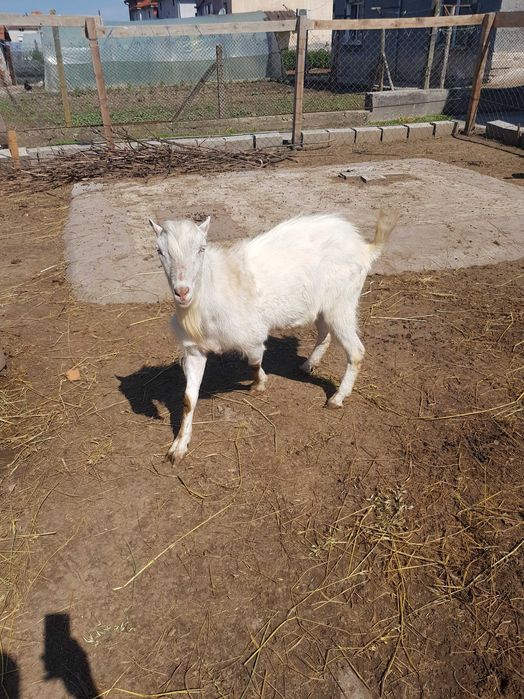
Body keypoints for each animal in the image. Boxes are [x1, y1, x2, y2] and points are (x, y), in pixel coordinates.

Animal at [149, 211, 398, 465]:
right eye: (160, 251)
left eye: (202, 248)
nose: (182, 292)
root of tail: (364, 248)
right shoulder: (194, 350)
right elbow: (189, 399)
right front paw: (178, 447)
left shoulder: (252, 336)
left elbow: (254, 362)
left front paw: (259, 384)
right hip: (322, 305)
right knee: (324, 333)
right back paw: (308, 365)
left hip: (342, 301)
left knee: (356, 351)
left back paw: (337, 398)